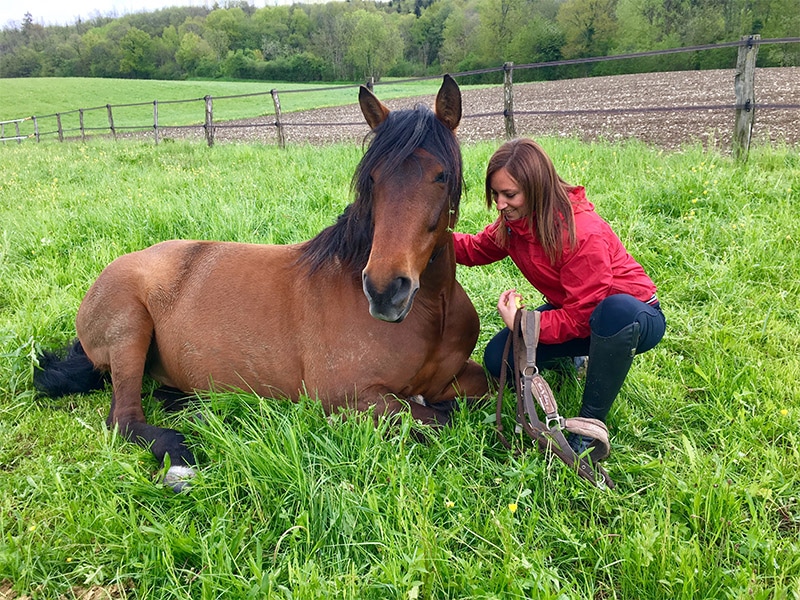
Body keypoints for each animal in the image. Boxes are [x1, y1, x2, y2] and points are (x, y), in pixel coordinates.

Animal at [34, 75, 490, 490]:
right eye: (373, 178)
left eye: (441, 175)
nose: (384, 291)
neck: (431, 314)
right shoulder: (350, 399)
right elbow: (444, 418)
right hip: (129, 330)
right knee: (124, 419)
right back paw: (181, 460)